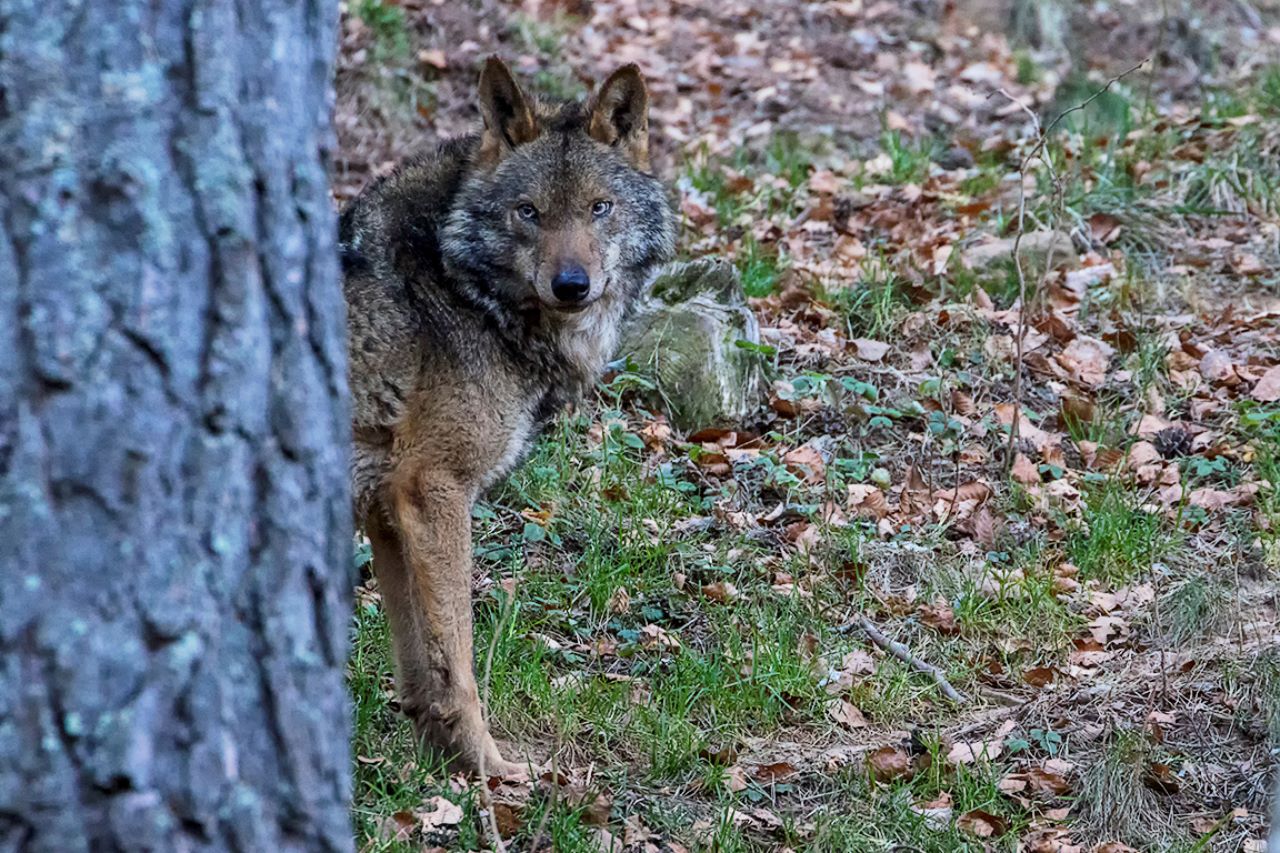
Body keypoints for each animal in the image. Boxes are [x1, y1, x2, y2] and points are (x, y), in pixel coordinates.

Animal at [339, 57, 677, 775]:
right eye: (530, 213)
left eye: (599, 208)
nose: (572, 285)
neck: (458, 281)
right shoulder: (433, 491)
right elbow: (459, 660)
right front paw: (488, 771)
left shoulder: (386, 508)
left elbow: (419, 666)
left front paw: (438, 763)